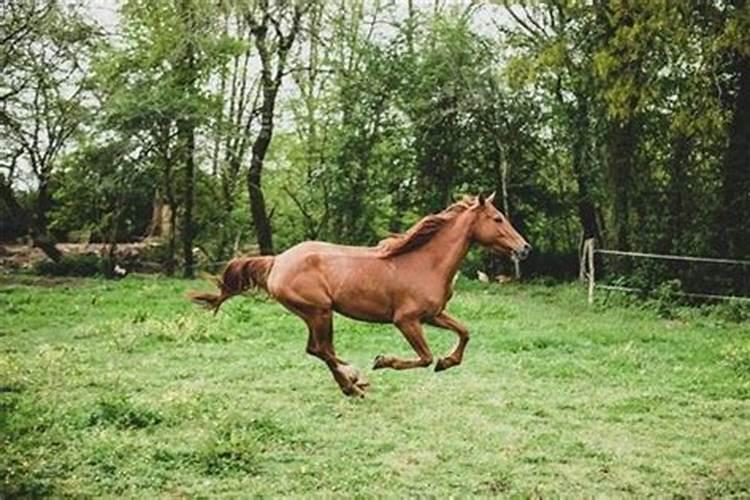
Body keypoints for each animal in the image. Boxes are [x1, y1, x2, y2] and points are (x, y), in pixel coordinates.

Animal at [194, 193, 536, 396]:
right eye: (497, 219)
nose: (524, 248)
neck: (425, 262)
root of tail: (277, 261)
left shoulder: (433, 315)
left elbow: (464, 332)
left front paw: (448, 361)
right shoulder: (406, 320)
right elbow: (424, 357)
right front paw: (384, 361)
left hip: (315, 315)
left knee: (317, 350)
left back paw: (352, 383)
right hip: (319, 312)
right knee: (322, 350)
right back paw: (354, 381)